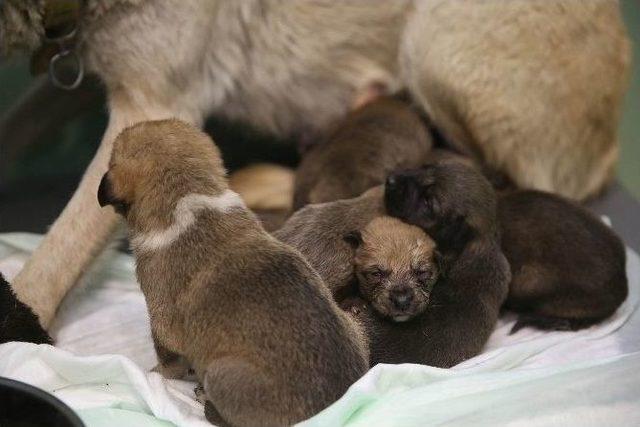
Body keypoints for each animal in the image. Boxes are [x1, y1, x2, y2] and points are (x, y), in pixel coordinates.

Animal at [97, 118, 368, 427]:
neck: (187, 199)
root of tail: (333, 411)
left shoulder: (162, 323)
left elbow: (168, 361)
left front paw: (158, 374)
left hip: (221, 375)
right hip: (353, 324)